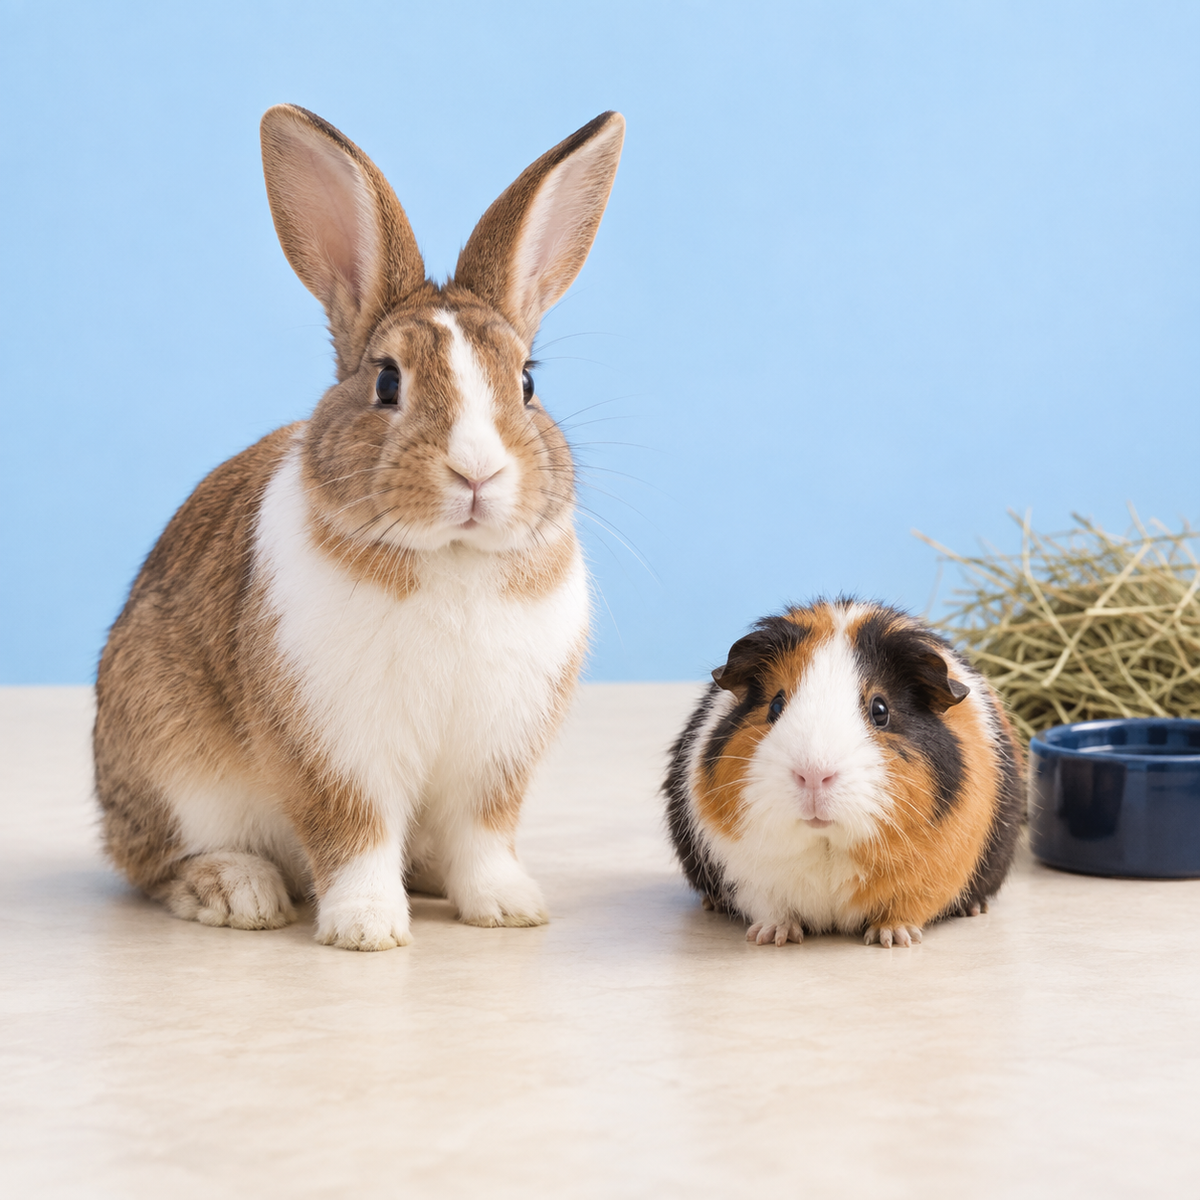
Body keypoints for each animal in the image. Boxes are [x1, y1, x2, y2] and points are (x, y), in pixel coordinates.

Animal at [93, 104, 625, 950]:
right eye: (386, 382)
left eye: (527, 383)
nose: (477, 474)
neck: (452, 559)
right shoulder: (334, 749)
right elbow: (355, 835)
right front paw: (366, 928)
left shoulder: (493, 761)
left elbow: (484, 837)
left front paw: (508, 908)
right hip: (169, 764)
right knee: (155, 863)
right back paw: (237, 892)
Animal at [664, 600, 1024, 947]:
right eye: (776, 706)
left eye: (880, 710)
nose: (813, 775)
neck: (827, 843)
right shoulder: (749, 876)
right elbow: (771, 907)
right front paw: (772, 936)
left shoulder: (932, 872)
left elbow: (908, 905)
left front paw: (895, 939)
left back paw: (974, 908)